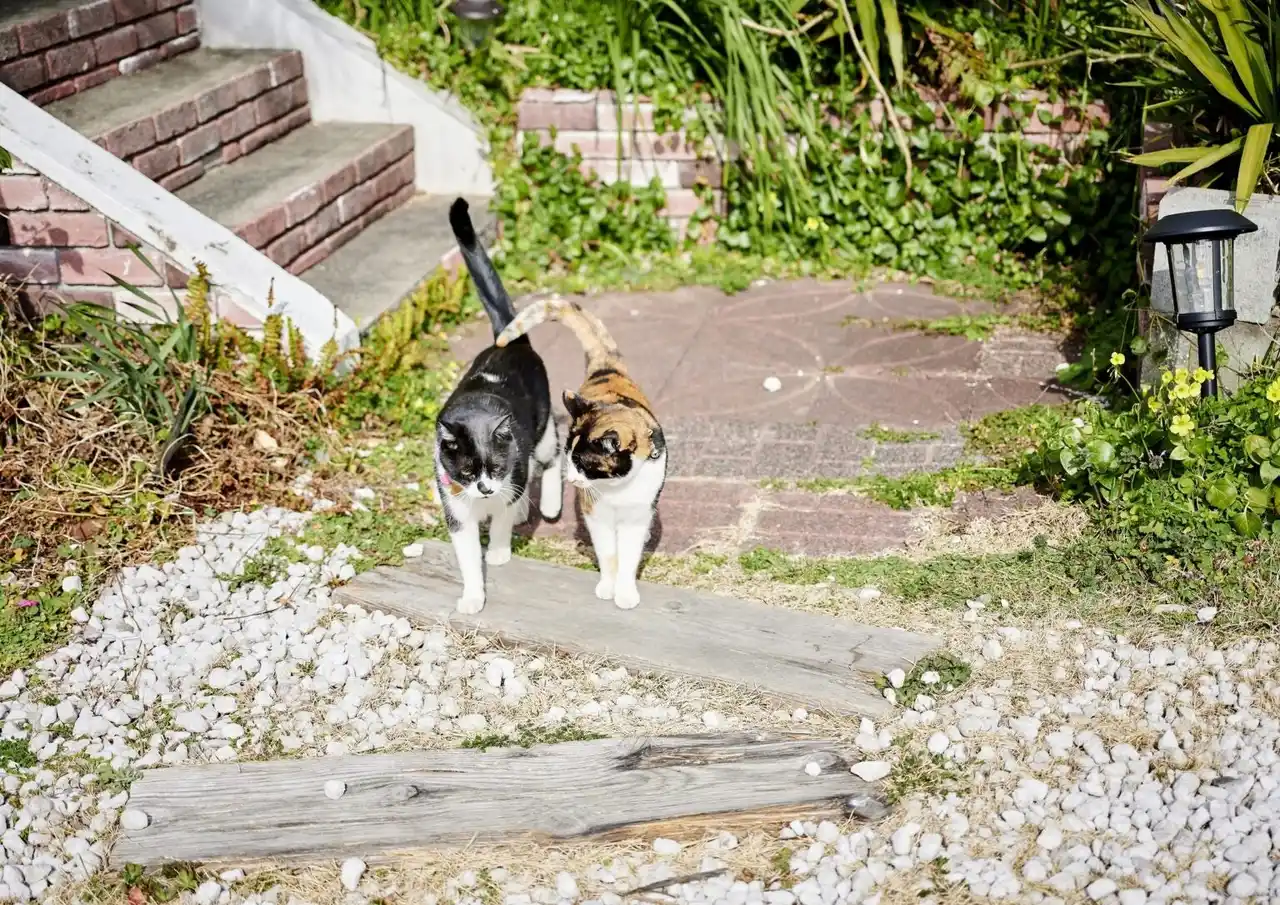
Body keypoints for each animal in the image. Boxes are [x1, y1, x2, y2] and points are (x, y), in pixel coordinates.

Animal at [435, 199, 562, 614]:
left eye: (494, 467)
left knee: (550, 459)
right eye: (467, 471)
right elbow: (467, 557)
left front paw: (499, 553)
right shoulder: (456, 509)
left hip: (542, 428)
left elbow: (503, 522)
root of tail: (510, 340)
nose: (486, 488)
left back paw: (549, 505)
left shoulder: (512, 474)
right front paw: (473, 596)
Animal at [495, 296, 665, 610]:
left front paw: (625, 593)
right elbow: (608, 554)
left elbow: (629, 555)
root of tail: (605, 368)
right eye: (569, 459)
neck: (617, 488)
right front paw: (608, 587)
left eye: (584, 464)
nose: (572, 480)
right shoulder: (595, 513)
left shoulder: (637, 514)